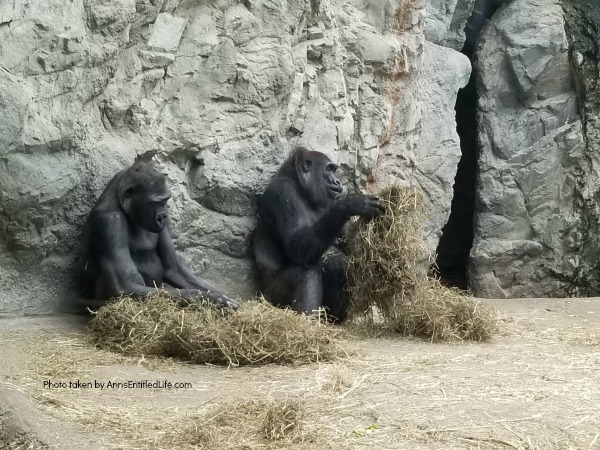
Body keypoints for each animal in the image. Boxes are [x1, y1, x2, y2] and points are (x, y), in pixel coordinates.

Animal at [77, 162, 239, 310]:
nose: (162, 217)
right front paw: (210, 298)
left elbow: (173, 269)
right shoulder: (110, 221)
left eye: (165, 201)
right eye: (155, 202)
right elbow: (125, 285)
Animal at [253, 147, 384, 320]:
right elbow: (298, 246)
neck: (301, 187)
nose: (337, 181)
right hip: (269, 301)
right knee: (309, 271)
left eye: (334, 170)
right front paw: (349, 204)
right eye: (329, 169)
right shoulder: (282, 193)